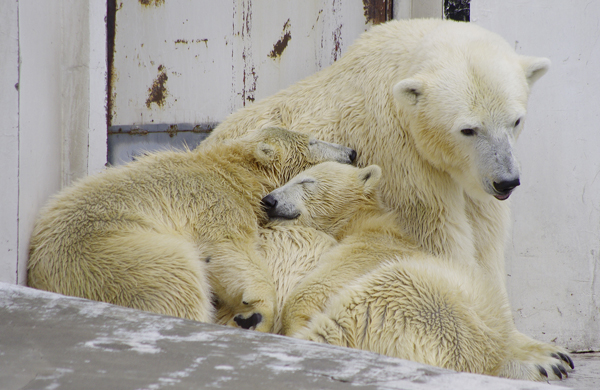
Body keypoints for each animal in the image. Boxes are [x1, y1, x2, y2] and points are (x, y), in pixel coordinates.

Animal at [204, 19, 560, 368]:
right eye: (468, 129)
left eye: (516, 120)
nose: (506, 181)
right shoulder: (400, 159)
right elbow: (440, 242)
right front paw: (537, 357)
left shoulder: (472, 178)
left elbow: (486, 242)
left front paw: (539, 350)